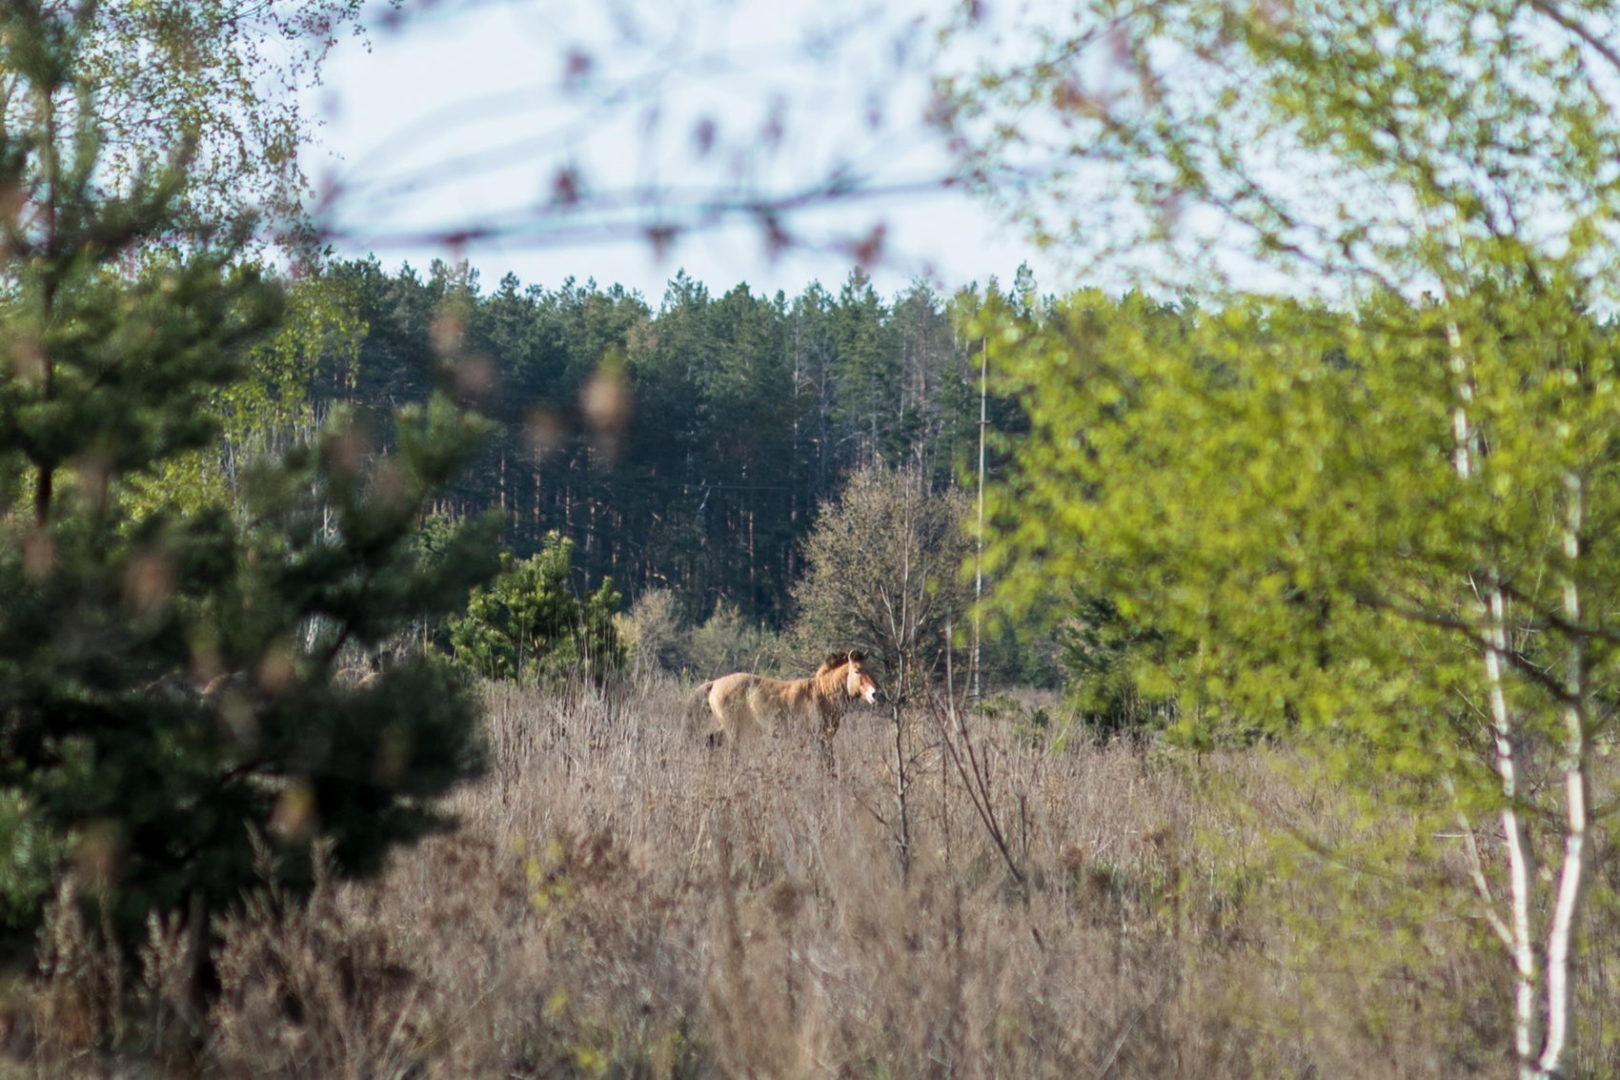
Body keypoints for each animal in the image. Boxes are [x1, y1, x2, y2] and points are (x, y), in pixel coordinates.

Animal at [693, 647, 881, 764]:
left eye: (872, 670)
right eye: (857, 670)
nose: (875, 693)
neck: (821, 693)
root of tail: (715, 683)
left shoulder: (825, 740)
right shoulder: (818, 740)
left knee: (708, 742)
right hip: (733, 732)